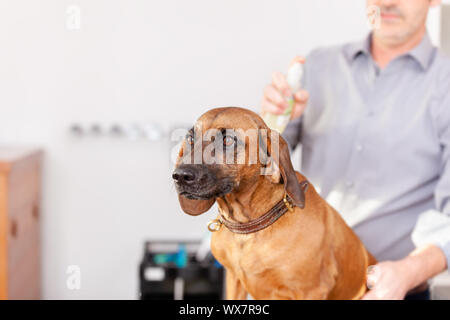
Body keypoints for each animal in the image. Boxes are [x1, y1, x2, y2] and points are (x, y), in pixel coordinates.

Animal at [172, 107, 376, 300]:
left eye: (228, 140)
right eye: (191, 138)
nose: (180, 176)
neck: (248, 229)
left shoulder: (311, 291)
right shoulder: (234, 280)